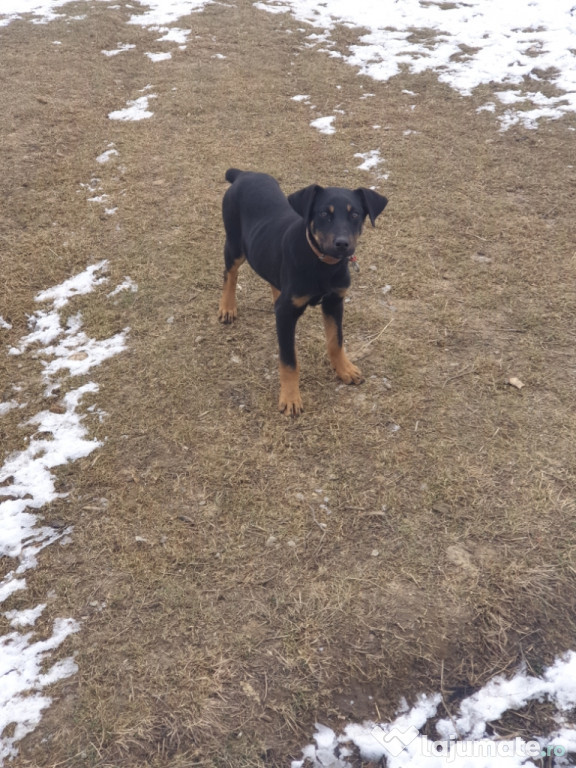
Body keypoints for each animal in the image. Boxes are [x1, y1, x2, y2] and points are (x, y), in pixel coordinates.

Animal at [218, 170, 390, 414]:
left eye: (355, 214)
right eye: (324, 214)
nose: (342, 244)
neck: (323, 264)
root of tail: (243, 174)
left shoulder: (334, 302)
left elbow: (336, 341)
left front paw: (345, 370)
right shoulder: (287, 314)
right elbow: (289, 360)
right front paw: (290, 398)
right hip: (234, 244)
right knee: (230, 274)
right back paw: (227, 307)